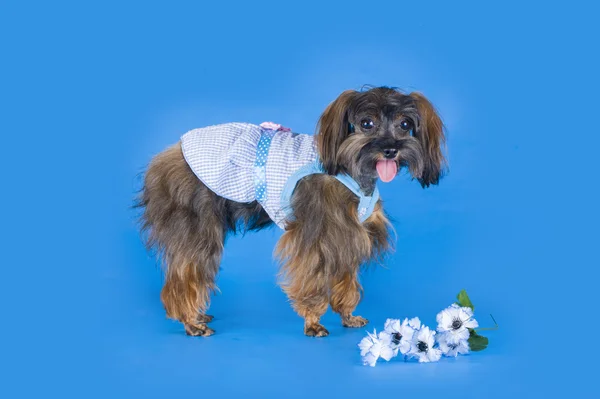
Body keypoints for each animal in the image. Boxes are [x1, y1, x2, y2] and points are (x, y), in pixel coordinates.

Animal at [137, 86, 446, 338]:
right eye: (366, 124)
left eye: (405, 124)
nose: (391, 149)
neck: (351, 167)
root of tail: (169, 152)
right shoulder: (320, 236)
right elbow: (313, 277)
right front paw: (313, 321)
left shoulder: (349, 236)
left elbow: (346, 277)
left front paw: (347, 315)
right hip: (198, 230)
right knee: (186, 275)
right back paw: (190, 320)